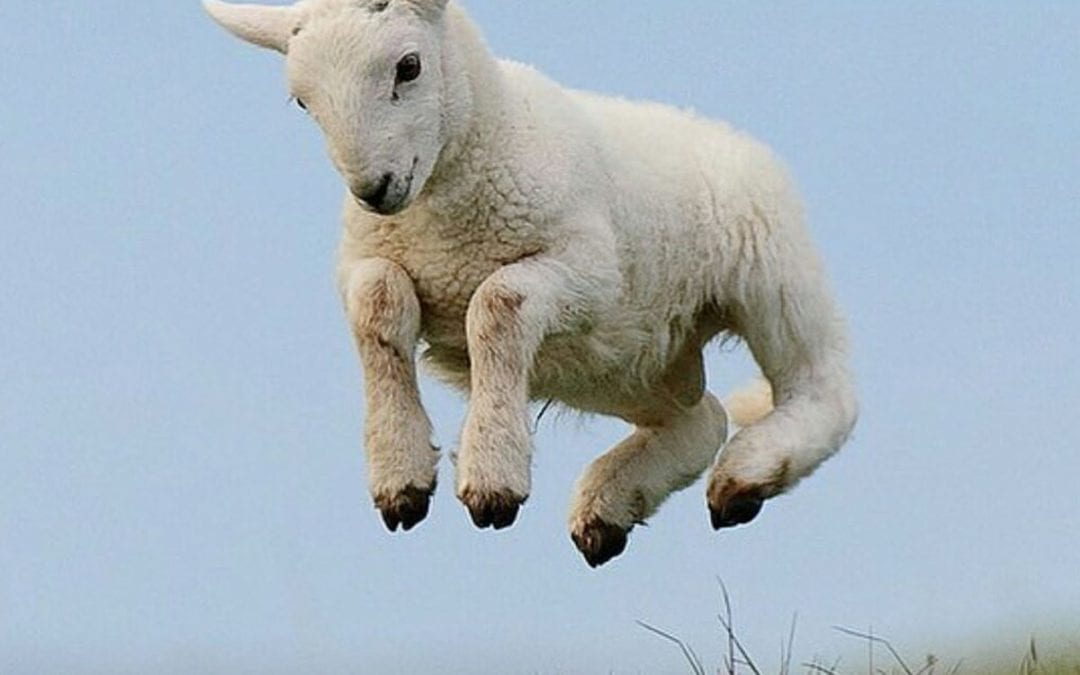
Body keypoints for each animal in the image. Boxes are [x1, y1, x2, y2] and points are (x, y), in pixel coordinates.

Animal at [204, 0, 858, 567]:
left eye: (408, 67)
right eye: (302, 100)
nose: (373, 188)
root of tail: (715, 129)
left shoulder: (588, 270)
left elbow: (498, 306)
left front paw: (492, 481)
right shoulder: (365, 261)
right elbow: (378, 306)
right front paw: (401, 478)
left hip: (767, 266)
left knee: (823, 389)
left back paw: (745, 474)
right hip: (615, 360)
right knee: (699, 418)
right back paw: (610, 509)